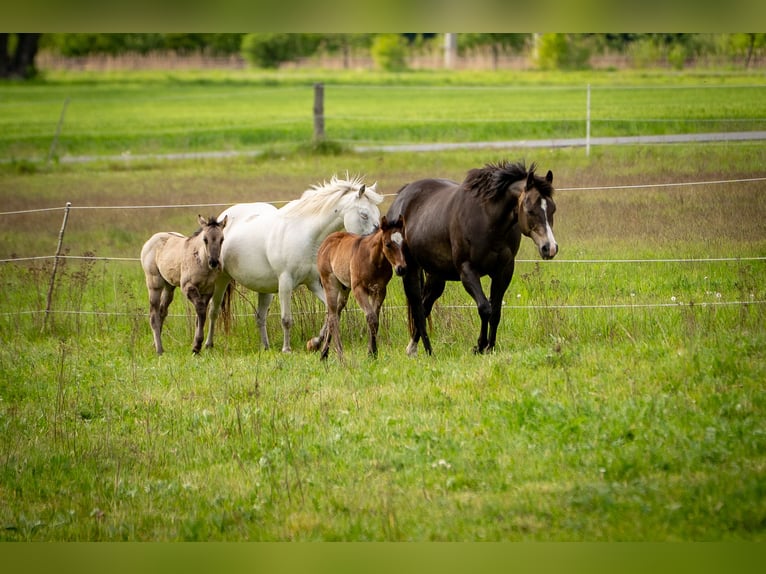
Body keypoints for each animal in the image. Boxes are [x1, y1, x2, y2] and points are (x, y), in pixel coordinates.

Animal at [140, 214, 227, 355]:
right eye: (205, 239)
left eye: (222, 239)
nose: (214, 262)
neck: (201, 261)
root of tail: (151, 239)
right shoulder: (188, 287)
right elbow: (201, 310)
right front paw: (197, 346)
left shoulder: (208, 290)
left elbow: (200, 315)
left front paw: (197, 346)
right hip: (154, 283)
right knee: (153, 314)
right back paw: (159, 350)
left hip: (169, 286)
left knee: (162, 312)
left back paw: (155, 344)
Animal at [205, 175, 383, 353]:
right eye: (364, 214)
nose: (374, 244)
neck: (306, 235)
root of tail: (223, 217)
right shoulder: (286, 282)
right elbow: (286, 319)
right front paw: (287, 349)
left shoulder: (313, 283)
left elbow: (330, 311)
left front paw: (315, 342)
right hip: (221, 279)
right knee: (214, 310)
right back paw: (208, 344)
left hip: (264, 288)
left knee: (260, 316)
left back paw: (266, 347)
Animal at [306, 215, 407, 361]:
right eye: (388, 244)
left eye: (403, 243)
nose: (402, 268)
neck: (373, 260)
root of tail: (327, 241)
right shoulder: (358, 289)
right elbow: (371, 318)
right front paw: (372, 353)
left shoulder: (380, 290)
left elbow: (375, 319)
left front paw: (372, 352)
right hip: (329, 283)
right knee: (332, 317)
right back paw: (340, 356)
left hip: (344, 288)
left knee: (334, 313)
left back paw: (324, 354)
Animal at [386, 160, 558, 356]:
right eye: (530, 211)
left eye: (553, 209)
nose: (550, 248)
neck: (487, 220)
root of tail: (402, 196)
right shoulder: (467, 270)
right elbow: (484, 308)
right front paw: (480, 346)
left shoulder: (504, 270)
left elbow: (496, 311)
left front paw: (490, 347)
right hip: (410, 271)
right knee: (417, 308)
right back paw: (419, 349)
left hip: (436, 275)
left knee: (425, 304)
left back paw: (413, 347)